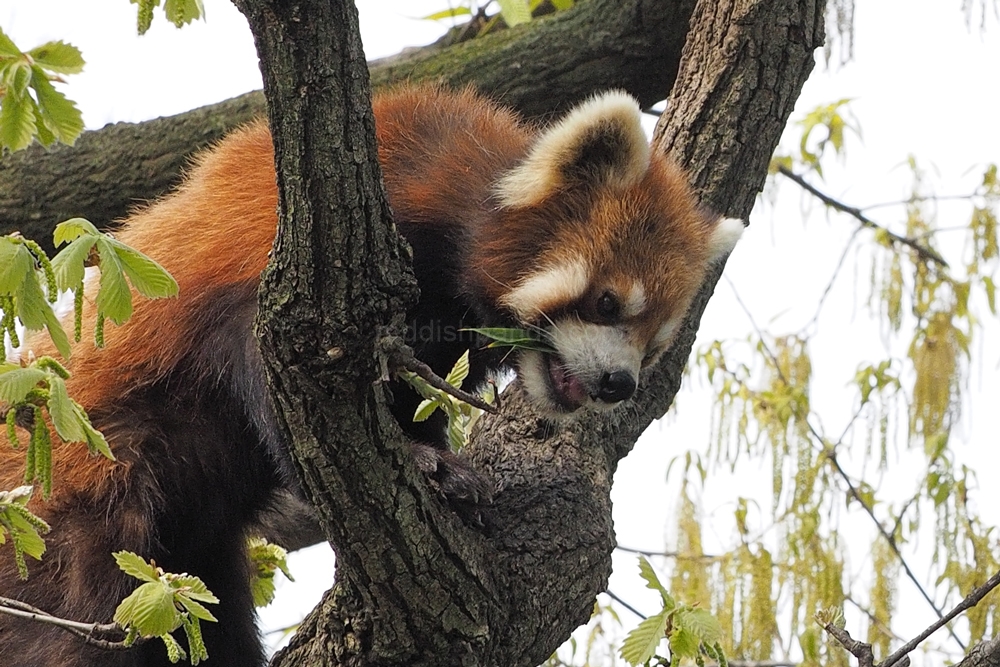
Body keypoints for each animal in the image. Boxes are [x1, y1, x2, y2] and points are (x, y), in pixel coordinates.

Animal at [0, 86, 744, 664]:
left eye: (653, 344)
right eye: (607, 303)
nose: (619, 384)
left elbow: (416, 393)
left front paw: (447, 466)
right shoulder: (294, 276)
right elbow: (274, 384)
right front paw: (426, 464)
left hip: (195, 564)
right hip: (86, 503)